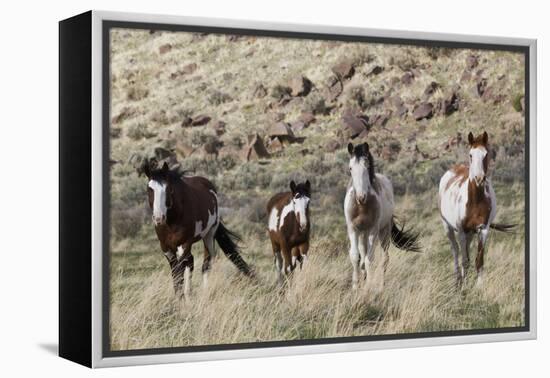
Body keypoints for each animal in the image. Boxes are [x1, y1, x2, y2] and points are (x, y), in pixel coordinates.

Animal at [142, 161, 254, 296]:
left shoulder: (184, 245)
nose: (159, 218)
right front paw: (180, 297)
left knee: (206, 263)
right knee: (191, 262)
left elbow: (180, 272)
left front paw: (182, 298)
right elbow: (176, 274)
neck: (172, 221)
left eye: (168, 189)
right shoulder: (166, 248)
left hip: (209, 236)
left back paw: (204, 292)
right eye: (149, 189)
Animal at [344, 142, 422, 290]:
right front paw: (356, 286)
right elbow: (355, 256)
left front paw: (368, 287)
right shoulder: (353, 229)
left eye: (367, 166)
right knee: (363, 256)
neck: (362, 207)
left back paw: (381, 286)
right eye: (350, 168)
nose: (361, 197)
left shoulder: (373, 230)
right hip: (363, 233)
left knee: (384, 259)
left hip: (384, 231)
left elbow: (370, 259)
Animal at [442, 131, 516, 284]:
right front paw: (464, 286)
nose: (479, 178)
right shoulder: (461, 232)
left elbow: (479, 261)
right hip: (448, 227)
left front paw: (479, 285)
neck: (475, 201)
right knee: (455, 251)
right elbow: (464, 260)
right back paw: (457, 280)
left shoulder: (483, 230)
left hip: (470, 233)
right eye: (471, 155)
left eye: (486, 154)